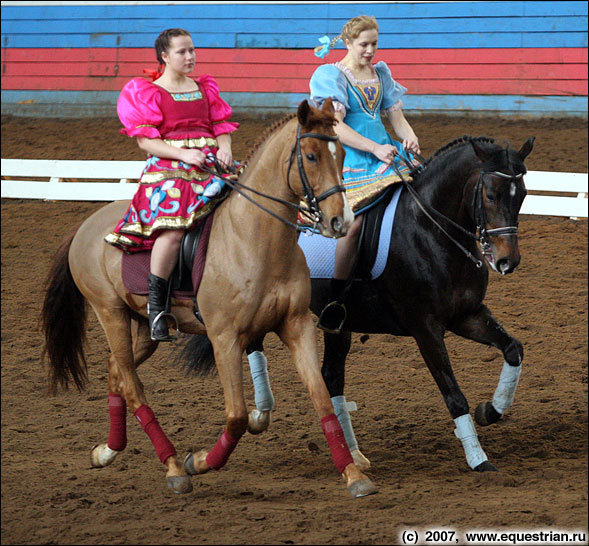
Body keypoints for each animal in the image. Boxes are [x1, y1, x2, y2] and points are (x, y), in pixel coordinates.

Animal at [42, 99, 376, 498]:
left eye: (341, 154)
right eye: (310, 156)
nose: (341, 221)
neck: (256, 239)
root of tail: (86, 225)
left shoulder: (296, 326)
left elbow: (322, 399)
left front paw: (354, 475)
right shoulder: (224, 339)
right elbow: (236, 417)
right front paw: (199, 461)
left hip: (141, 326)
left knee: (116, 372)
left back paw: (108, 451)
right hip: (110, 314)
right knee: (133, 387)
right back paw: (173, 467)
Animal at [243, 135, 532, 472]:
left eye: (522, 195)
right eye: (490, 194)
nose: (507, 261)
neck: (431, 232)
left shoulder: (467, 315)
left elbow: (513, 349)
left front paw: (490, 410)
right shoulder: (425, 329)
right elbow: (453, 394)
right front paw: (478, 459)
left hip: (339, 325)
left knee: (332, 377)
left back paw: (353, 454)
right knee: (251, 343)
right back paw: (260, 414)